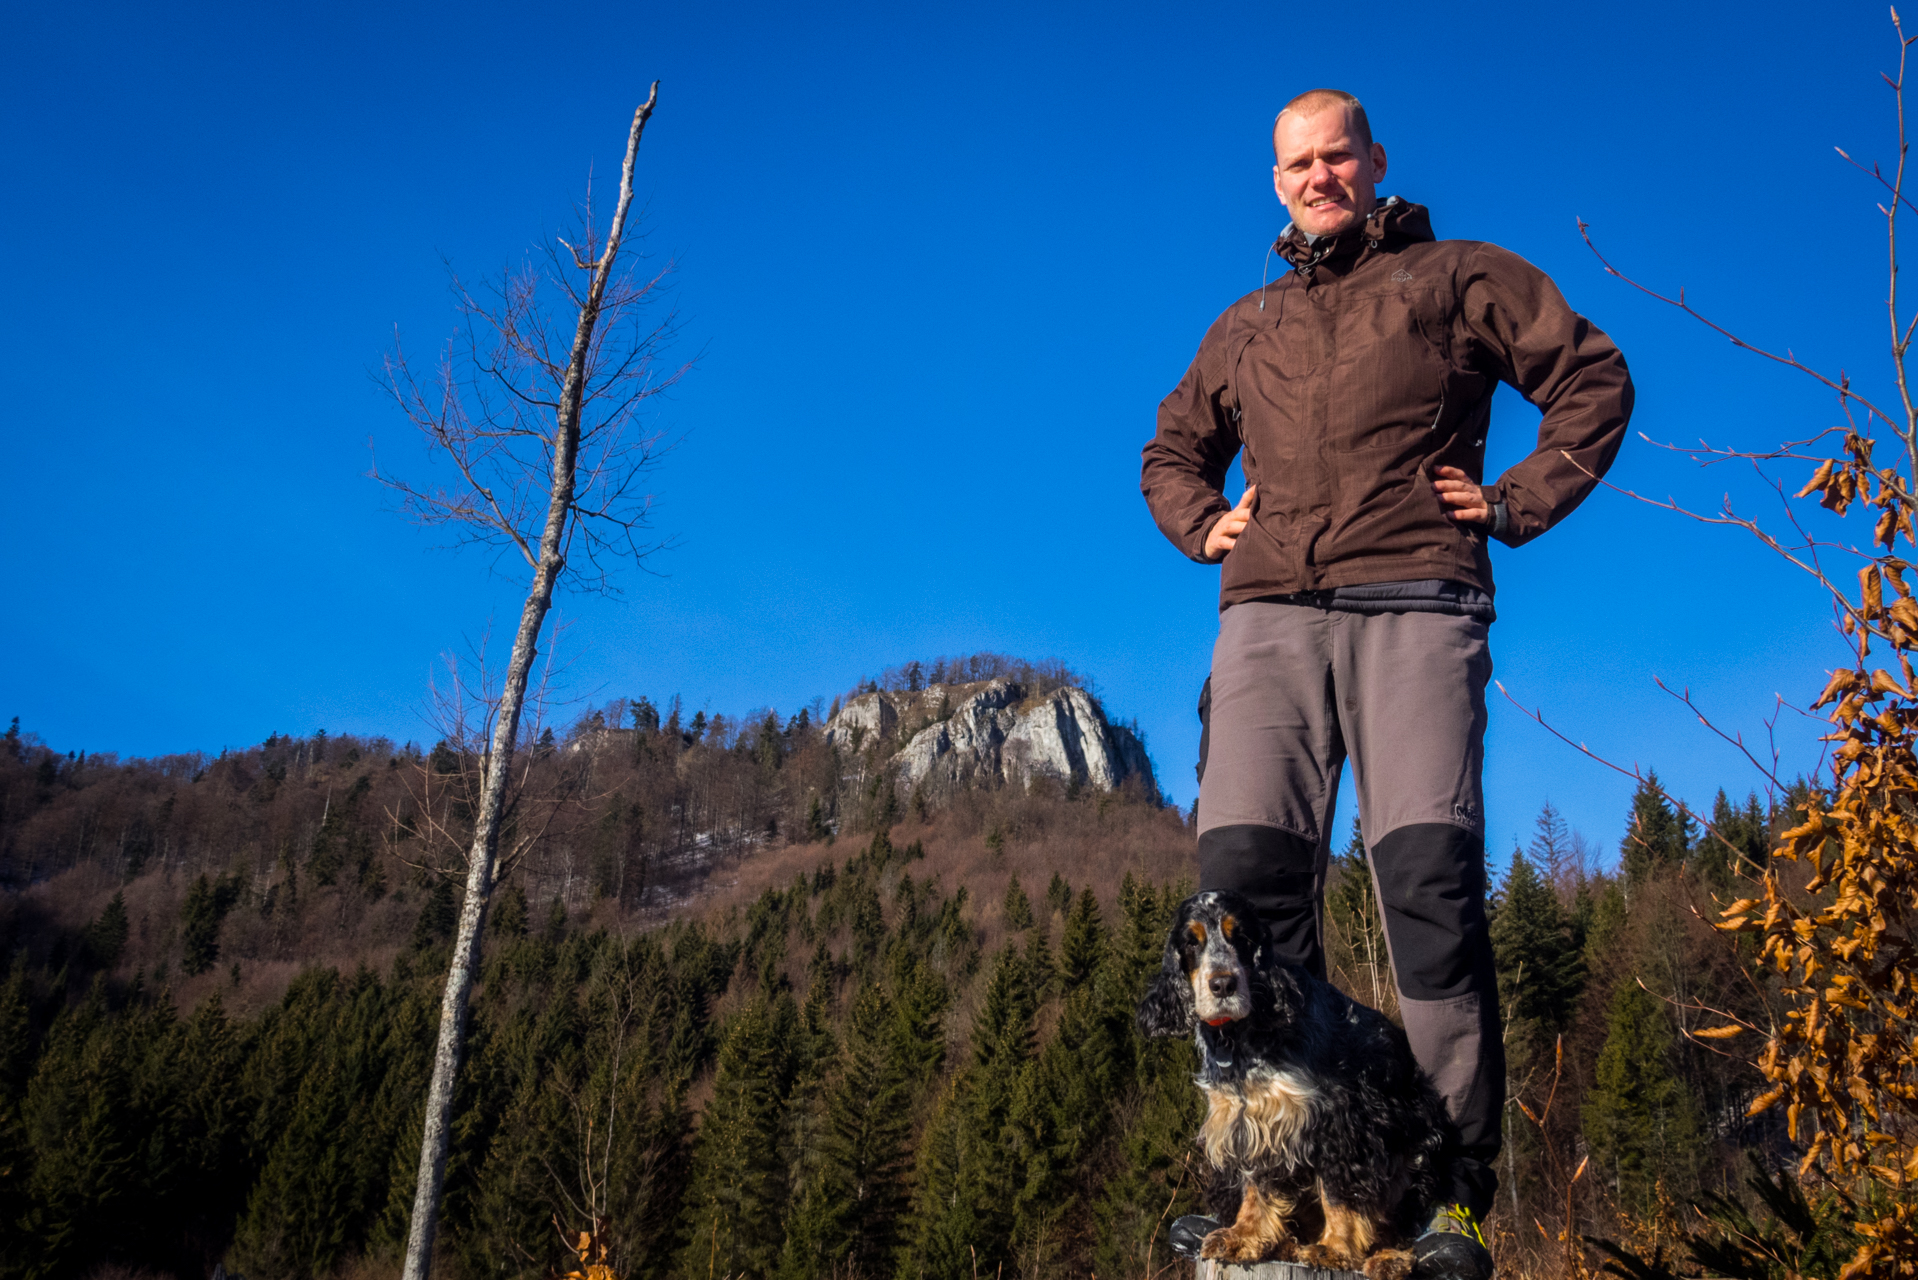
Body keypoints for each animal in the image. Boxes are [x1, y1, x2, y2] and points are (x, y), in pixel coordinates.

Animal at [1127, 898, 1442, 1274]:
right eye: (1191, 941)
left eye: (1242, 937)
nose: (1223, 984)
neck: (1238, 1037)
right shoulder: (1249, 1120)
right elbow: (1254, 1184)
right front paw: (1245, 1235)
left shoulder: (1339, 1118)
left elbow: (1338, 1191)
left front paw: (1335, 1247)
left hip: (1420, 1147)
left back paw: (1388, 1257)